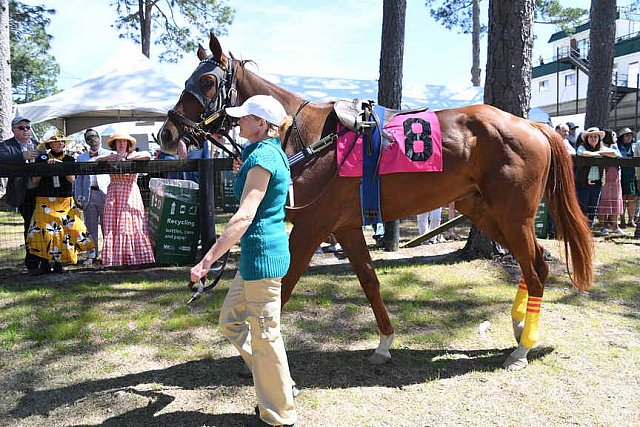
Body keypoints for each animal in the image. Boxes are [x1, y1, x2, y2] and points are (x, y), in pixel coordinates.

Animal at [162, 34, 592, 372]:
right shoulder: (347, 227)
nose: (167, 132)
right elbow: (370, 282)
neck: (308, 137)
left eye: (206, 80)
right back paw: (520, 328)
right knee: (532, 264)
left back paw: (521, 349)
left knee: (536, 269)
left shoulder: (311, 226)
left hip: (513, 215)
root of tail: (533, 125)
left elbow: (284, 288)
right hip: (483, 211)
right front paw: (384, 344)